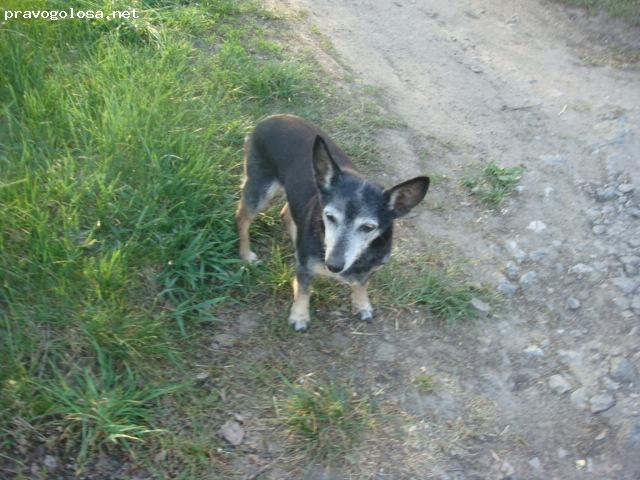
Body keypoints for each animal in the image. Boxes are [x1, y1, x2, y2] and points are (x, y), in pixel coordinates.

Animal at [235, 113, 430, 330]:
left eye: (368, 227)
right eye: (329, 216)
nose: (334, 266)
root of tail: (271, 117)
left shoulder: (371, 268)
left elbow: (361, 285)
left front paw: (362, 305)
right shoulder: (305, 269)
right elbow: (303, 291)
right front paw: (299, 316)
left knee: (286, 213)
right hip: (260, 187)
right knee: (242, 219)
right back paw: (246, 254)